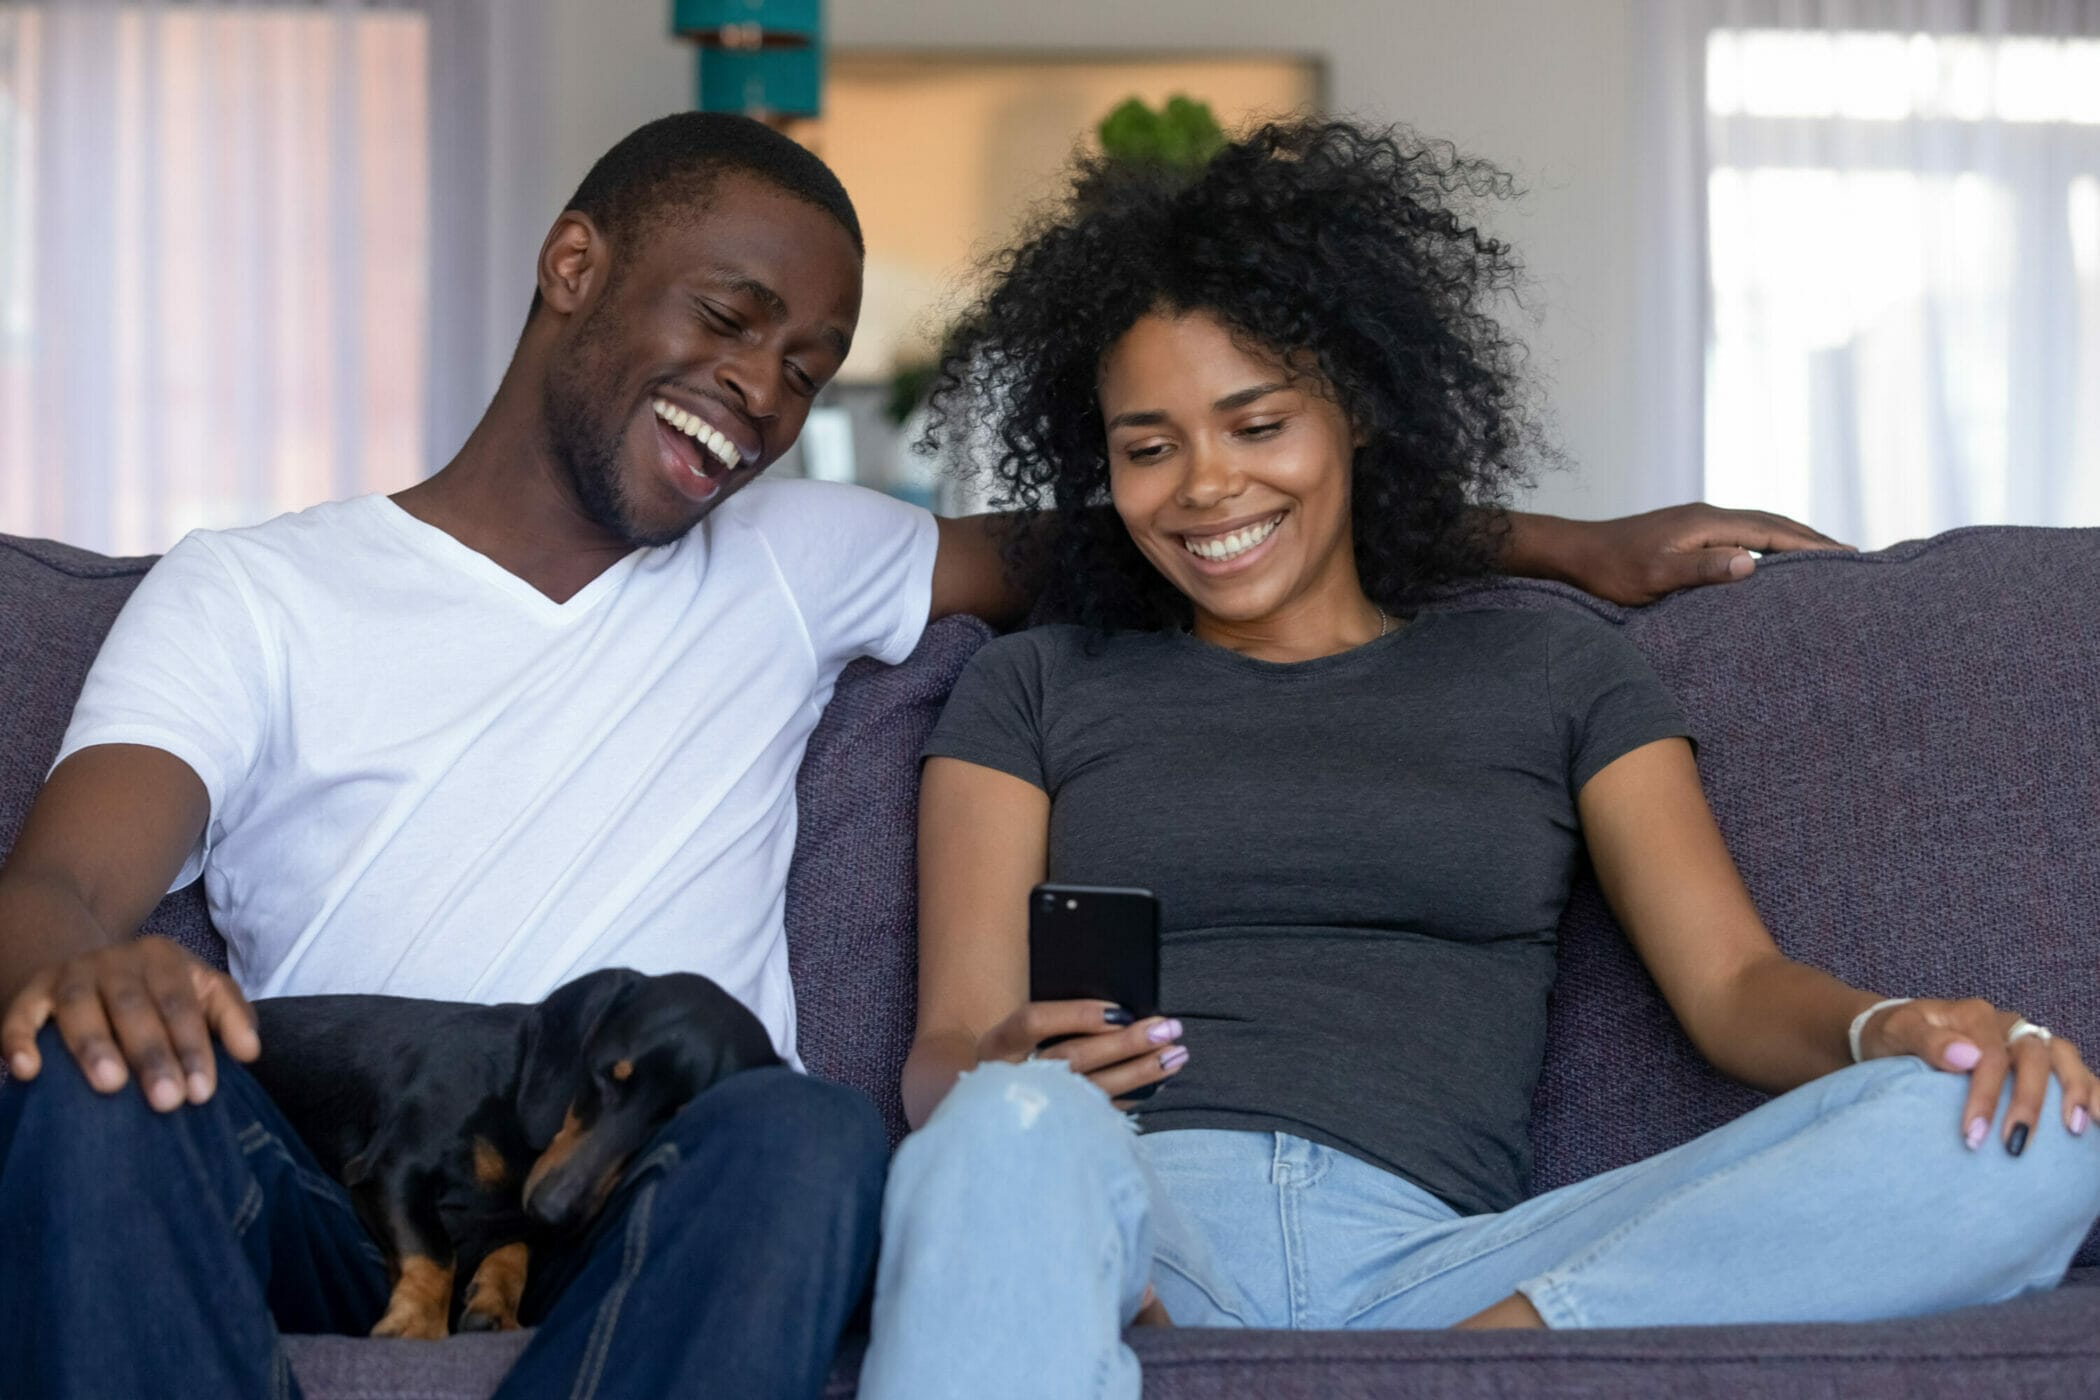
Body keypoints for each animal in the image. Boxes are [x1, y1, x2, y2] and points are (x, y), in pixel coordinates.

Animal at [251, 969, 781, 1343]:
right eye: (606, 1075)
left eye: (674, 1119)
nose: (554, 1211)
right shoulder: (394, 1166)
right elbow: (434, 1252)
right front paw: (420, 1323)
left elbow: (514, 1249)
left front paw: (494, 1304)